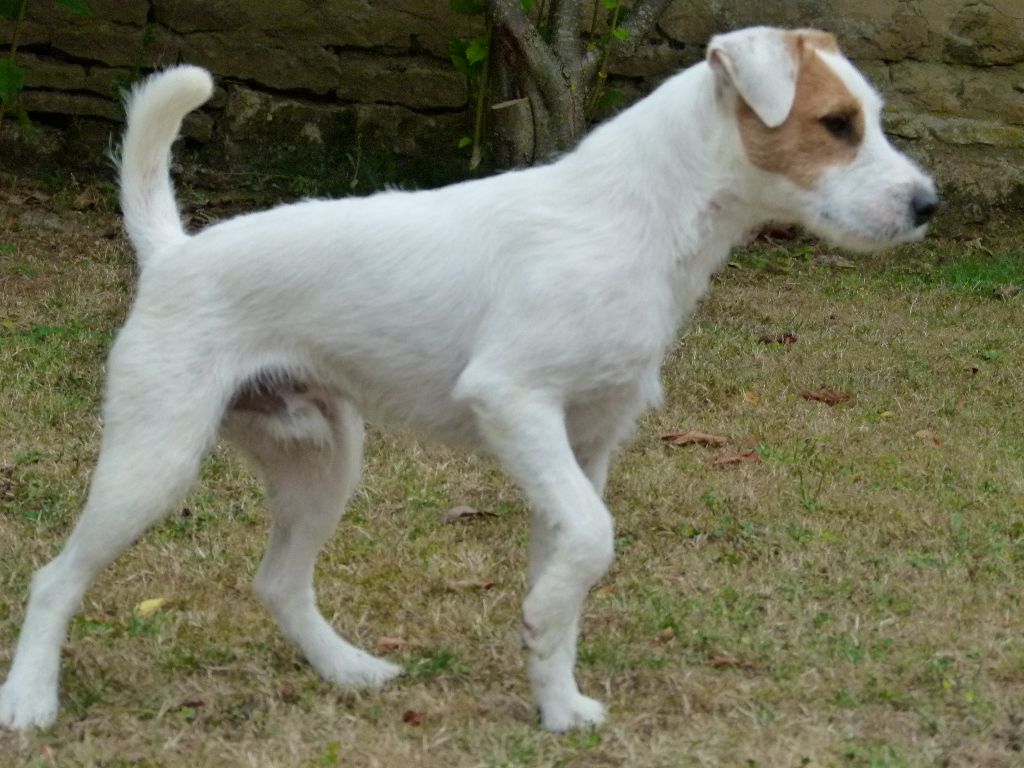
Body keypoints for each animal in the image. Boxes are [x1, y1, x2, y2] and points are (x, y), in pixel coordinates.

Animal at [0, 25, 937, 733]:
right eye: (836, 123)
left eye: (867, 120)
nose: (929, 205)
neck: (634, 218)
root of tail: (174, 252)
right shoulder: (515, 402)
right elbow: (594, 540)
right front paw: (543, 631)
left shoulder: (583, 447)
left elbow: (574, 566)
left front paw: (556, 702)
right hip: (153, 461)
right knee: (56, 578)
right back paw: (30, 700)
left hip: (322, 461)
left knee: (279, 582)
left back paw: (349, 670)